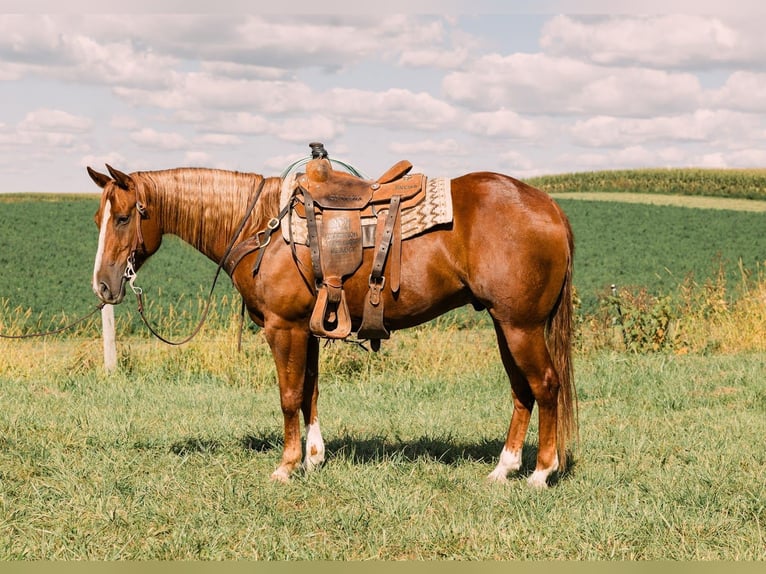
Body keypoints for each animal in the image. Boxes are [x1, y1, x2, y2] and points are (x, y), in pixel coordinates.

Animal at [87, 161, 577, 488]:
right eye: (98, 218)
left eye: (124, 217)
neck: (263, 227)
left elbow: (289, 396)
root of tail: (550, 206)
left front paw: (286, 466)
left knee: (545, 385)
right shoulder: (308, 329)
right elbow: (310, 392)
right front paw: (314, 458)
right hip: (504, 324)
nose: (103, 285)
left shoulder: (284, 328)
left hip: (521, 326)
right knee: (522, 391)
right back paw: (503, 469)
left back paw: (540, 473)